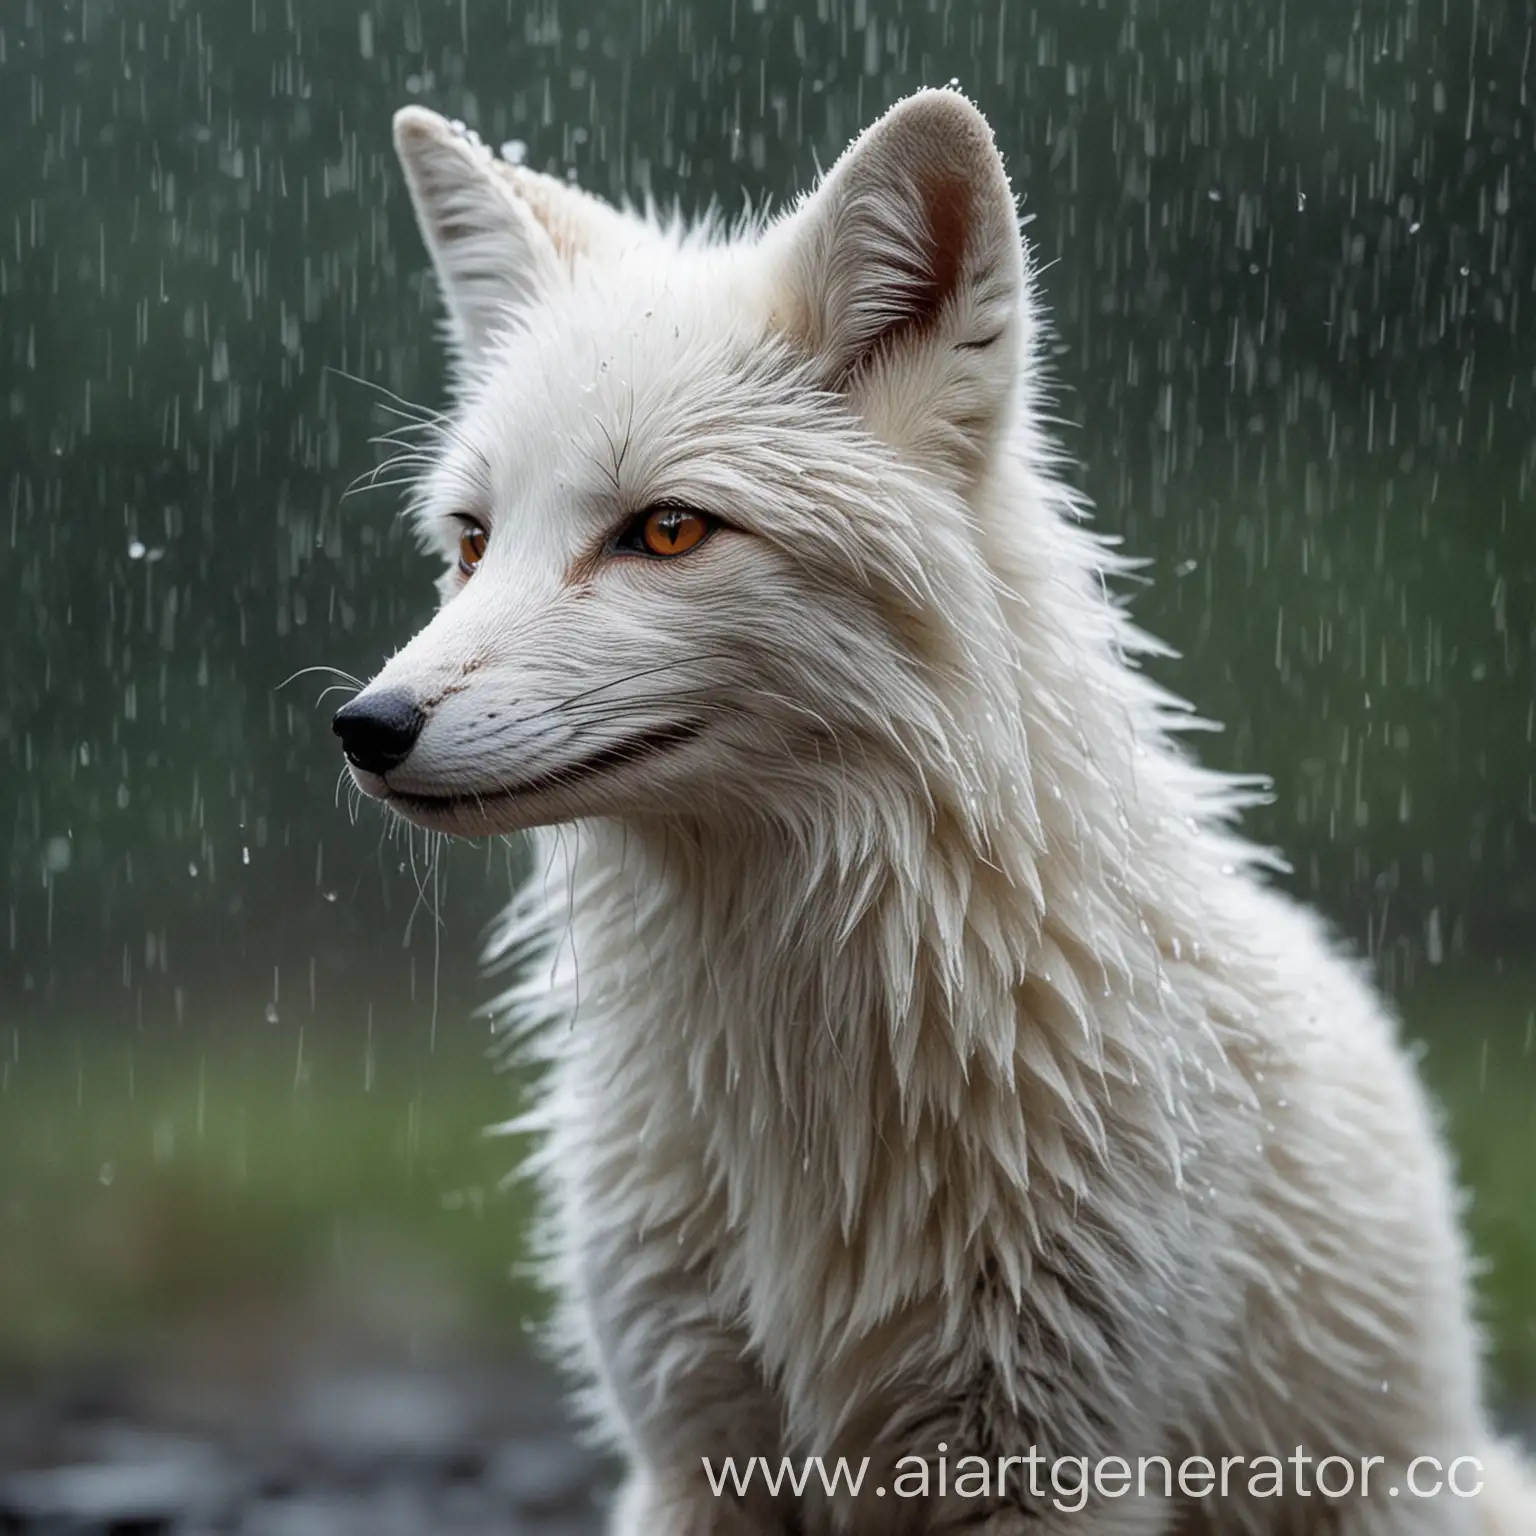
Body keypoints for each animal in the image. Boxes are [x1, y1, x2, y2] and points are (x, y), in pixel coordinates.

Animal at [330, 92, 1529, 1536]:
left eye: (666, 532)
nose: (367, 726)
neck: (805, 1089)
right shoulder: (692, 1444)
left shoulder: (1052, 1455)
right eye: (471, 543)